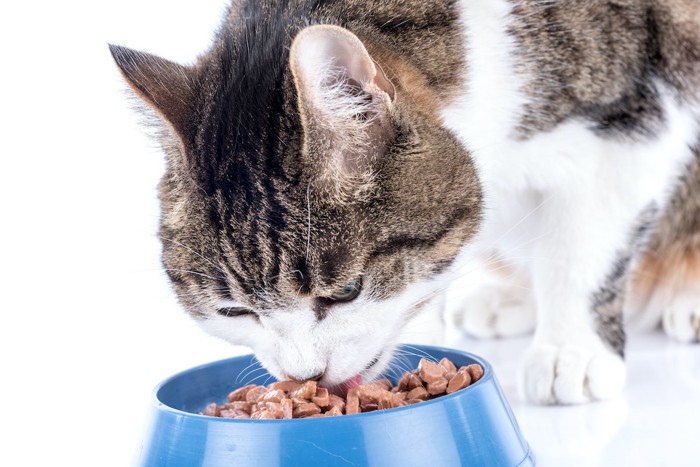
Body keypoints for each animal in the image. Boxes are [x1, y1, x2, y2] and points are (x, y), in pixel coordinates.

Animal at [110, 0, 700, 404]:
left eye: (346, 292)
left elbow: (582, 250)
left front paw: (572, 350)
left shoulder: (636, 117)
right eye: (234, 311)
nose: (305, 375)